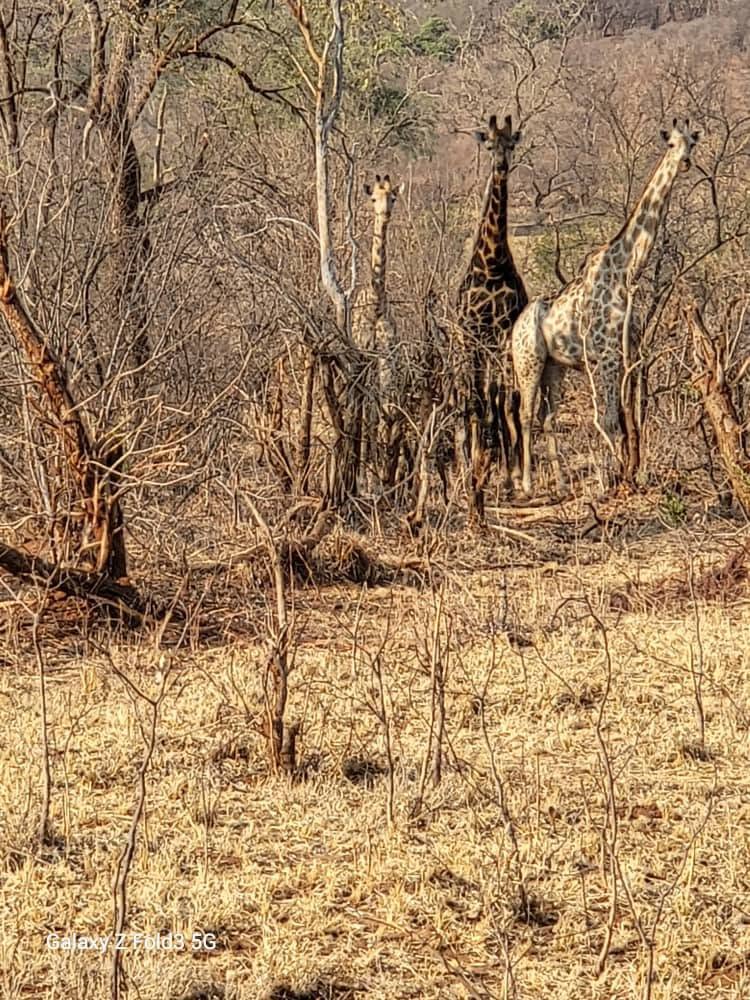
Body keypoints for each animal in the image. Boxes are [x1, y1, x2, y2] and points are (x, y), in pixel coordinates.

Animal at [512, 119, 699, 497]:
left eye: (692, 142)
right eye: (671, 144)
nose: (685, 162)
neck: (626, 268)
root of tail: (512, 330)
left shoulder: (630, 353)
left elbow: (632, 418)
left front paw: (632, 473)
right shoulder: (604, 356)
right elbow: (609, 421)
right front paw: (613, 481)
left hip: (555, 367)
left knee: (547, 417)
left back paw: (562, 484)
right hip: (528, 361)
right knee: (524, 414)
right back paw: (526, 485)